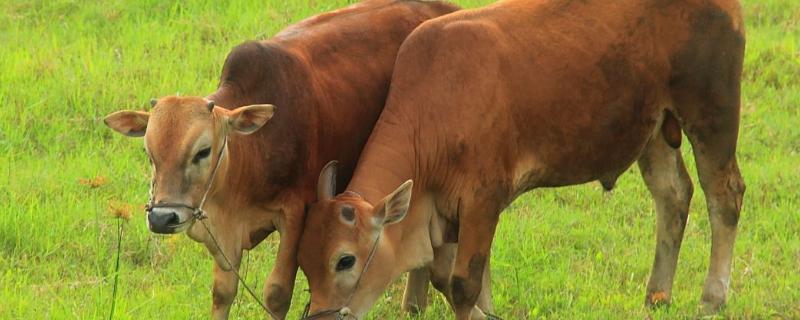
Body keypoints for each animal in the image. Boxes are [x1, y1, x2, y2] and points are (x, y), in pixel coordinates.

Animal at [103, 1, 460, 318]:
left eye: (202, 151)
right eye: (149, 153)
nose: (162, 218)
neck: (251, 152)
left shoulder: (295, 214)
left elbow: (277, 293)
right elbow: (222, 292)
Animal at [296, 0, 748, 318]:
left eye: (345, 260)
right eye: (303, 262)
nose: (320, 317)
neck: (434, 109)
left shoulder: (482, 199)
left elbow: (463, 284)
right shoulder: (445, 211)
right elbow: (450, 278)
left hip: (712, 113)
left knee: (724, 195)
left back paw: (712, 297)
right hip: (653, 129)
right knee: (673, 196)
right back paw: (657, 294)